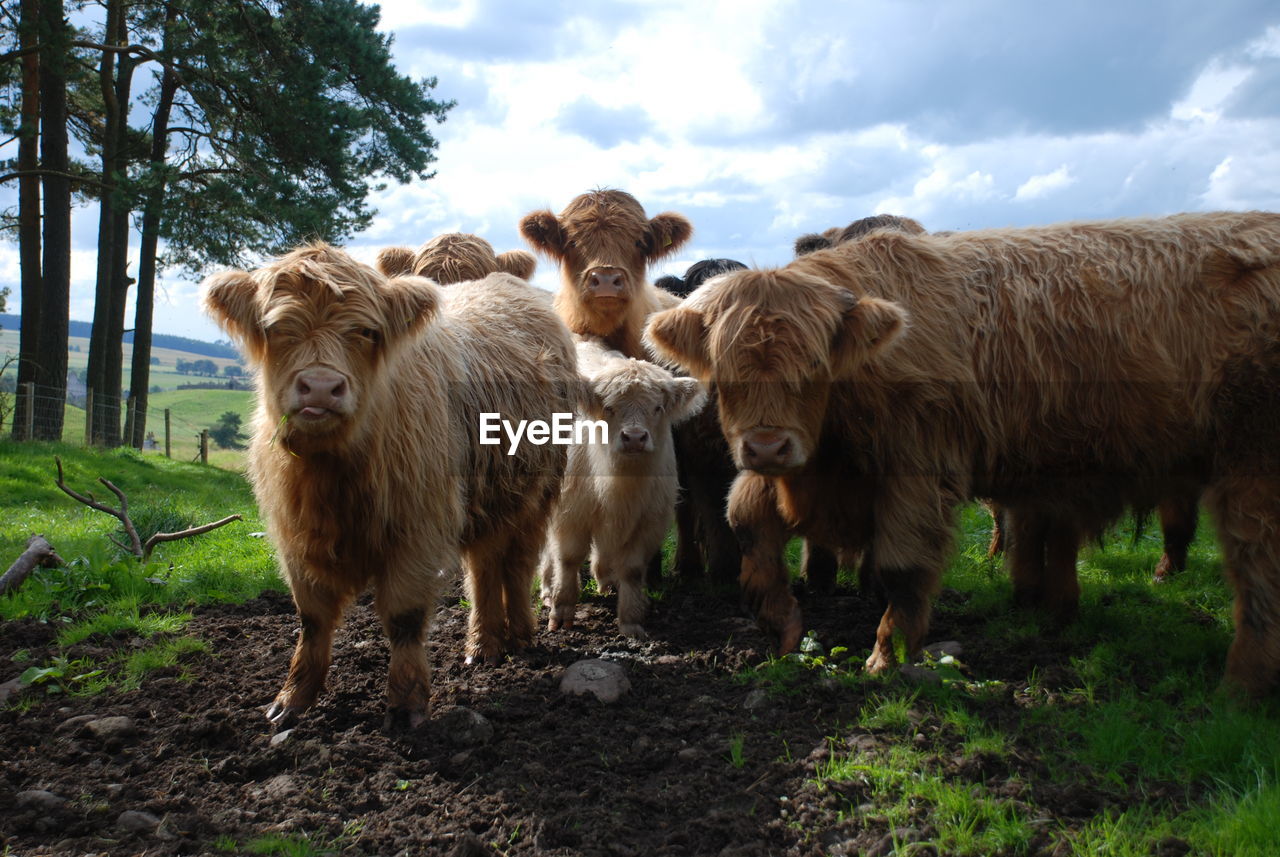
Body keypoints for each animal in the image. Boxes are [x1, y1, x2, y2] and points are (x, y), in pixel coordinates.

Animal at [200, 243, 581, 731]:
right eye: (275, 327)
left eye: (365, 331)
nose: (320, 387)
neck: (334, 474)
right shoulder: (293, 536)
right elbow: (311, 619)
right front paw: (291, 700)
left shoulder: (417, 531)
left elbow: (404, 619)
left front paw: (404, 706)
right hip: (486, 500)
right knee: (483, 568)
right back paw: (483, 647)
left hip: (537, 494)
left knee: (517, 565)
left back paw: (522, 637)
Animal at [650, 213, 1280, 695]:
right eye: (723, 369)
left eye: (814, 366)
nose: (765, 444)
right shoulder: (801, 466)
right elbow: (745, 520)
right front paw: (780, 624)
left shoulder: (918, 470)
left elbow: (901, 568)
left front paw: (887, 657)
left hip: (1254, 466)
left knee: (1255, 569)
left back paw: (1240, 690)